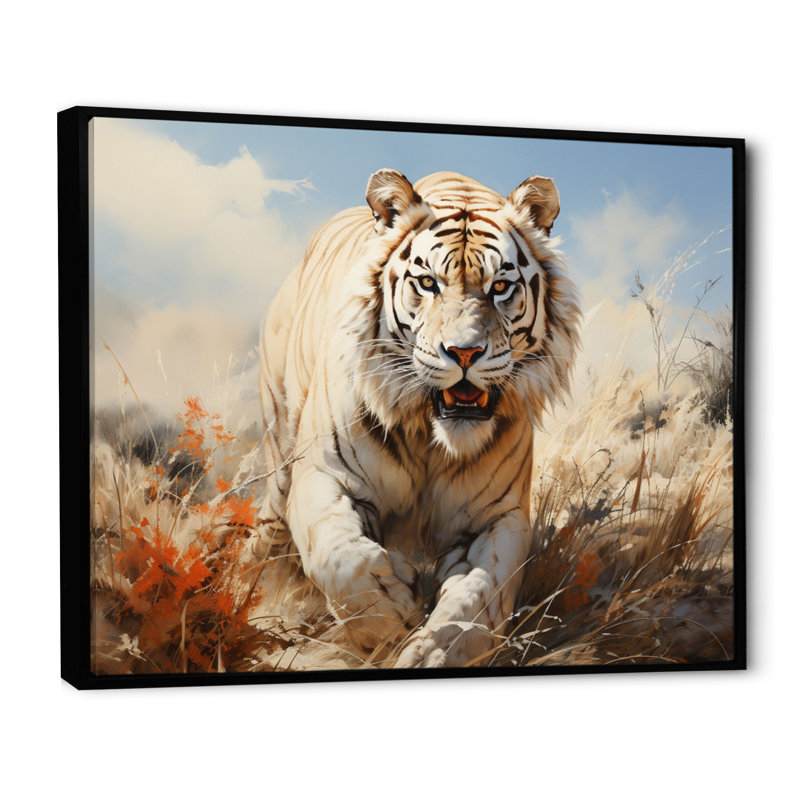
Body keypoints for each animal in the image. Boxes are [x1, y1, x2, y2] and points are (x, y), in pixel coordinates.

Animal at [258, 169, 581, 668]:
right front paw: (391, 614)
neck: (433, 437)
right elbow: (340, 558)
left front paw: (432, 651)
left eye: (500, 287)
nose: (464, 352)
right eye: (428, 283)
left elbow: (479, 596)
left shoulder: (495, 517)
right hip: (279, 449)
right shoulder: (325, 476)